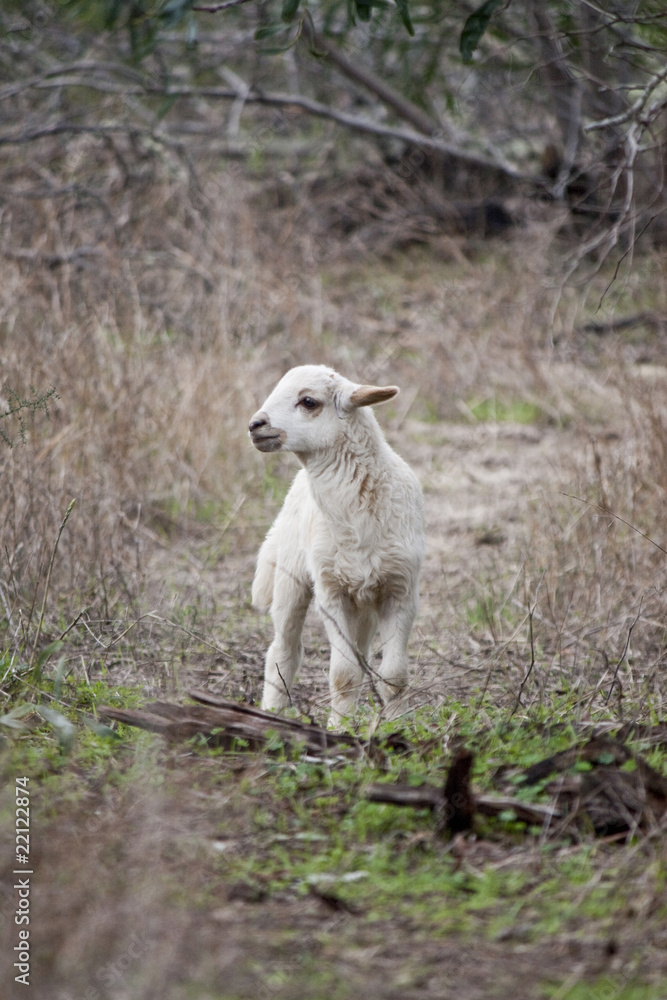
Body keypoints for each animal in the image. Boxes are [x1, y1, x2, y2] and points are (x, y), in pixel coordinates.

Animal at [248, 364, 424, 727]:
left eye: (309, 401)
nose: (255, 425)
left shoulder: (401, 591)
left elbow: (394, 677)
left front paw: (399, 728)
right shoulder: (331, 594)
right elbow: (343, 675)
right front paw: (338, 729)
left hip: (364, 602)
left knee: (361, 653)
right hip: (291, 580)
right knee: (283, 652)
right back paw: (270, 714)